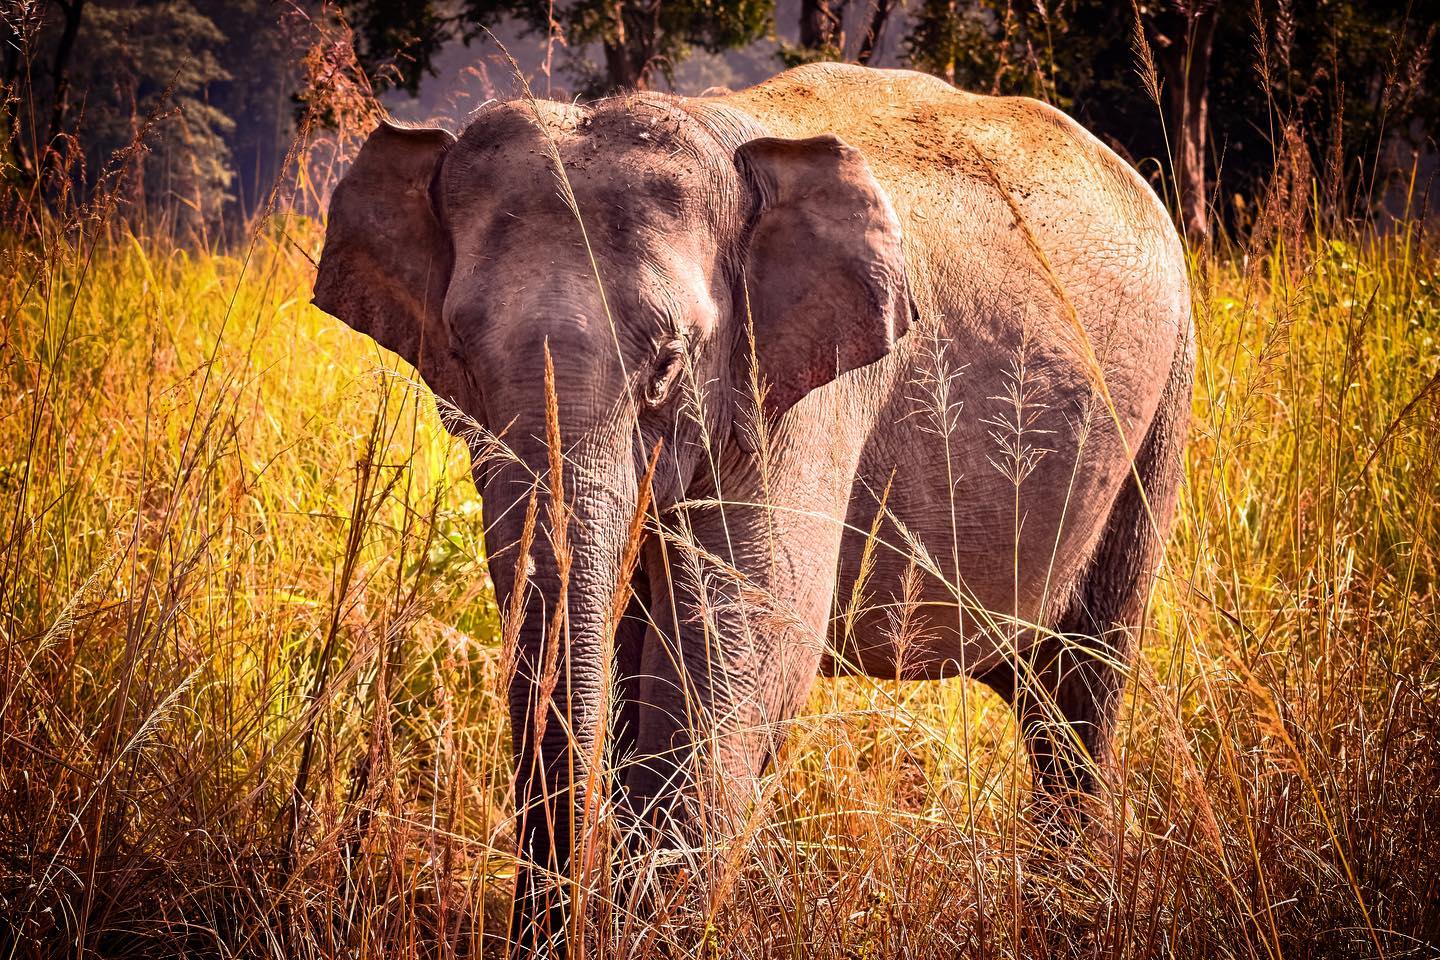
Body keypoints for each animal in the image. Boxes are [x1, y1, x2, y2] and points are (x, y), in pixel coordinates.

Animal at [313, 62, 1194, 952]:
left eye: (668, 363)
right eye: (459, 354)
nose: (554, 927)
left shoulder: (797, 404)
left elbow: (725, 685)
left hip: (1163, 407)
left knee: (1081, 692)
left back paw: (1067, 907)